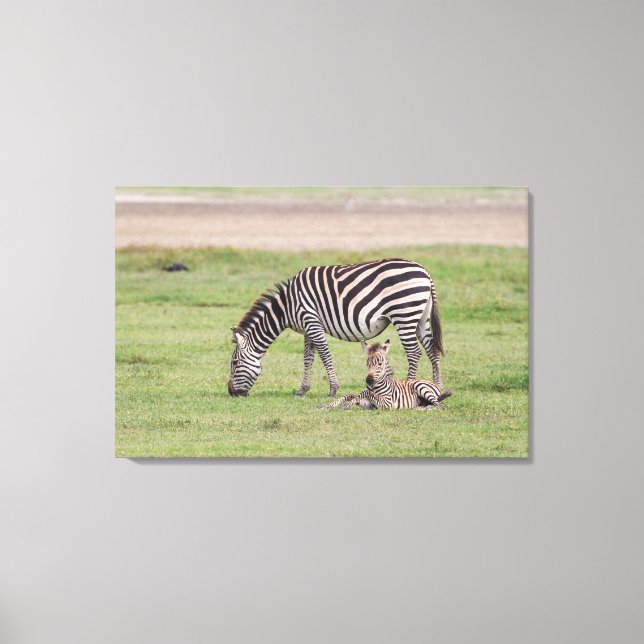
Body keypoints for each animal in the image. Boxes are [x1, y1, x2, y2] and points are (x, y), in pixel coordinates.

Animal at [228, 258, 444, 397]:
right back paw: (438, 386)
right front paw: (302, 390)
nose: (231, 392)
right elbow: (308, 358)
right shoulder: (308, 328)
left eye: (235, 363)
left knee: (414, 353)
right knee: (432, 350)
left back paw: (409, 386)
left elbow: (324, 355)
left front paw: (332, 389)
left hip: (404, 314)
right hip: (420, 317)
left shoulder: (312, 321)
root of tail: (424, 271)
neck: (286, 307)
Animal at [320, 339, 452, 411]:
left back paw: (422, 409)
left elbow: (366, 393)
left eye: (380, 363)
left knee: (441, 406)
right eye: (367, 364)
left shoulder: (387, 403)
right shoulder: (367, 404)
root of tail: (435, 384)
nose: (369, 380)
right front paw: (327, 406)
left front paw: (345, 406)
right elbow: (350, 395)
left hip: (420, 387)